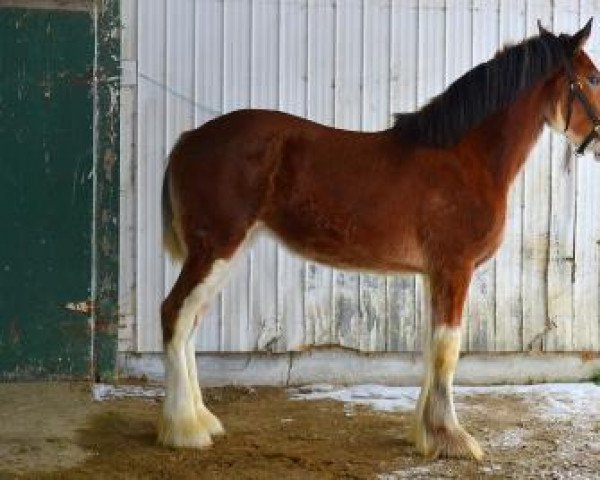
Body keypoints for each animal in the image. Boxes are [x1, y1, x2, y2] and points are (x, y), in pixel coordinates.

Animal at [158, 20, 600, 460]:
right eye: (594, 78)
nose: (598, 145)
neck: (465, 158)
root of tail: (188, 139)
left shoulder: (433, 274)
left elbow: (431, 347)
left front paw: (425, 434)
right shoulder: (454, 269)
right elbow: (448, 348)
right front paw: (451, 437)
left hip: (227, 251)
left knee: (190, 322)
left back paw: (202, 420)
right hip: (215, 248)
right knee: (174, 314)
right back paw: (184, 428)